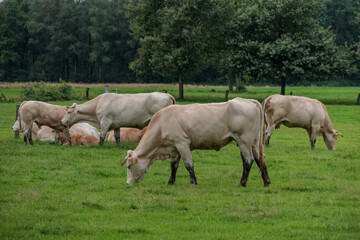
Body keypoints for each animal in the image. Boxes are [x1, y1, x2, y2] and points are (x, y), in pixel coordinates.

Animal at [121, 97, 270, 188]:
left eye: (129, 166)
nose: (128, 183)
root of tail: (248, 100)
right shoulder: (174, 147)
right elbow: (174, 166)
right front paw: (170, 182)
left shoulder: (182, 143)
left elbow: (188, 165)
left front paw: (193, 182)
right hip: (254, 141)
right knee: (260, 158)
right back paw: (266, 181)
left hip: (243, 141)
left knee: (248, 161)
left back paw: (242, 183)